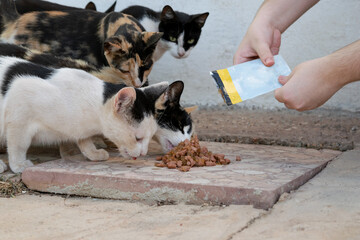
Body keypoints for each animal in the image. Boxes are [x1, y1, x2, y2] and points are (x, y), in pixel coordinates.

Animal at [0, 55, 172, 173]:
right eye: (138, 138)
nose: (143, 153)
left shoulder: (80, 128)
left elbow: (85, 140)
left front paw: (93, 153)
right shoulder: (20, 111)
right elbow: (18, 145)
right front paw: (18, 165)